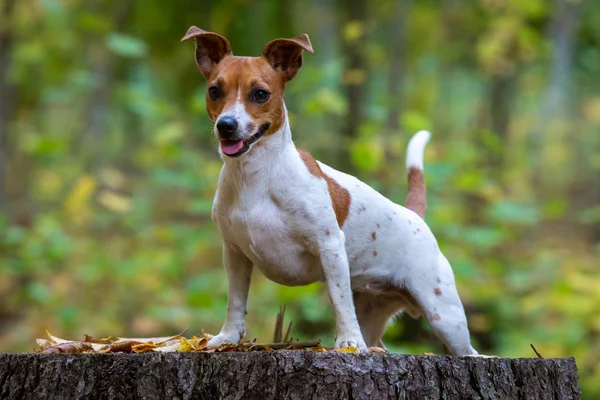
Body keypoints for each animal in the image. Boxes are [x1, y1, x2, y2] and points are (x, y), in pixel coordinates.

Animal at [183, 26, 478, 354]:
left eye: (260, 94)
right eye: (214, 91)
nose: (226, 125)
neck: (256, 177)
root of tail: (414, 215)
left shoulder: (330, 247)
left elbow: (339, 300)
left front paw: (348, 341)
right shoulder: (234, 254)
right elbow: (235, 300)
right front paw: (228, 337)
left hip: (445, 316)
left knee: (471, 352)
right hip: (374, 309)